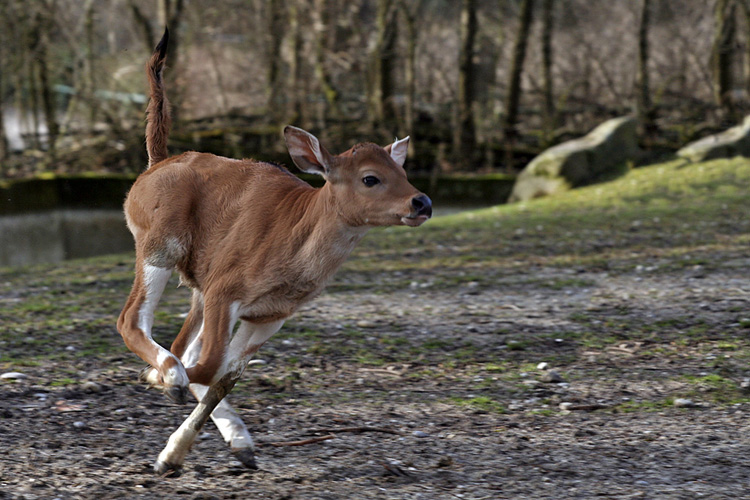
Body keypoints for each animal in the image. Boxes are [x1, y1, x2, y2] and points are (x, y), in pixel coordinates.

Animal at [117, 29, 434, 474]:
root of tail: (154, 166)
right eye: (370, 178)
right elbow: (210, 366)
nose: (422, 202)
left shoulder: (269, 315)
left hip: (197, 282)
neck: (291, 248)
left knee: (182, 346)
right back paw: (168, 377)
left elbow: (222, 377)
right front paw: (162, 382)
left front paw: (176, 454)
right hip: (159, 245)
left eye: (402, 171)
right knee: (133, 320)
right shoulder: (226, 290)